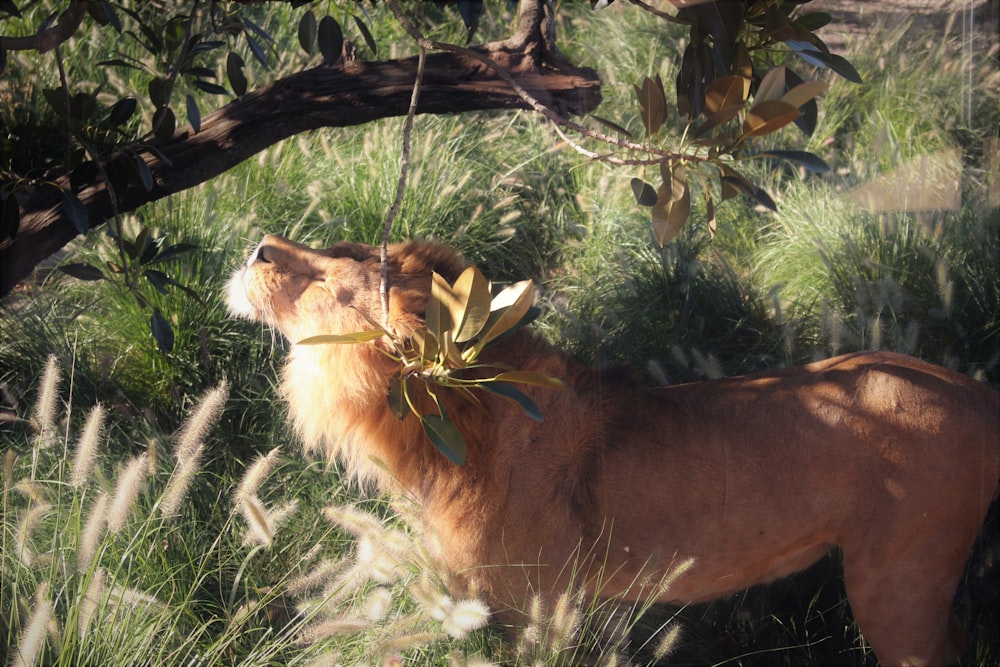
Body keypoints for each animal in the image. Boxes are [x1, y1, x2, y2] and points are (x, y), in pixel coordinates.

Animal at [229, 235, 1000, 667]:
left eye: (331, 272)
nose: (257, 248)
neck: (444, 426)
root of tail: (974, 391)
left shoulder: (535, 604)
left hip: (898, 585)